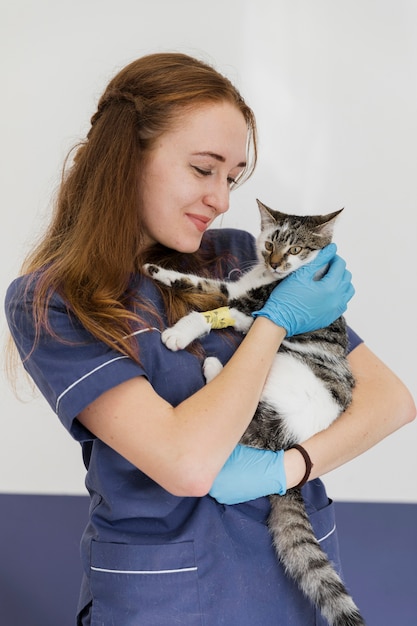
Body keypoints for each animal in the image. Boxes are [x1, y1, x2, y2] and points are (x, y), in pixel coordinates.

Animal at [145, 200, 364, 624]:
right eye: (269, 245)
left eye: (297, 249)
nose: (276, 264)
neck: (271, 279)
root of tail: (287, 447)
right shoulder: (235, 287)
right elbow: (202, 285)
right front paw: (156, 271)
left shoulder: (257, 307)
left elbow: (220, 310)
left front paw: (180, 332)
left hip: (281, 377)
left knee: (241, 416)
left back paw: (214, 367)